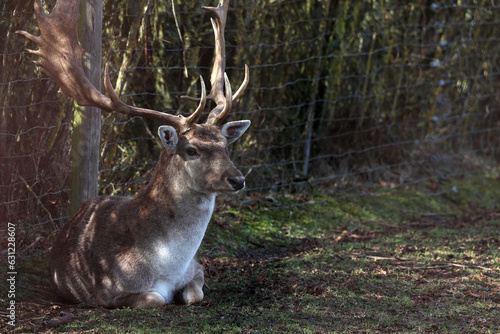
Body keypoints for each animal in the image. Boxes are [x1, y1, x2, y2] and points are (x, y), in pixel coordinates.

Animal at [18, 0, 252, 308]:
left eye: (225, 146)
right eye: (191, 150)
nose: (237, 179)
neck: (168, 264)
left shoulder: (197, 267)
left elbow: (195, 294)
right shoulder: (107, 290)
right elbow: (157, 299)